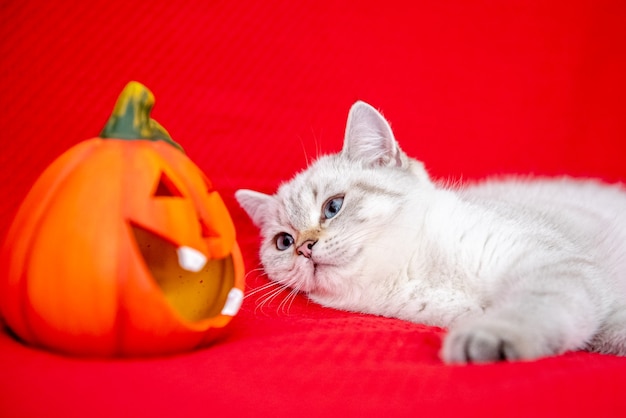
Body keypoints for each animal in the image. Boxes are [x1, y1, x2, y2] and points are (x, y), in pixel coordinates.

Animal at [234, 101, 624, 362]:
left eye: (333, 206)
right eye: (284, 242)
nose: (305, 247)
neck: (418, 269)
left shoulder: (552, 262)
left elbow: (535, 306)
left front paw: (492, 337)